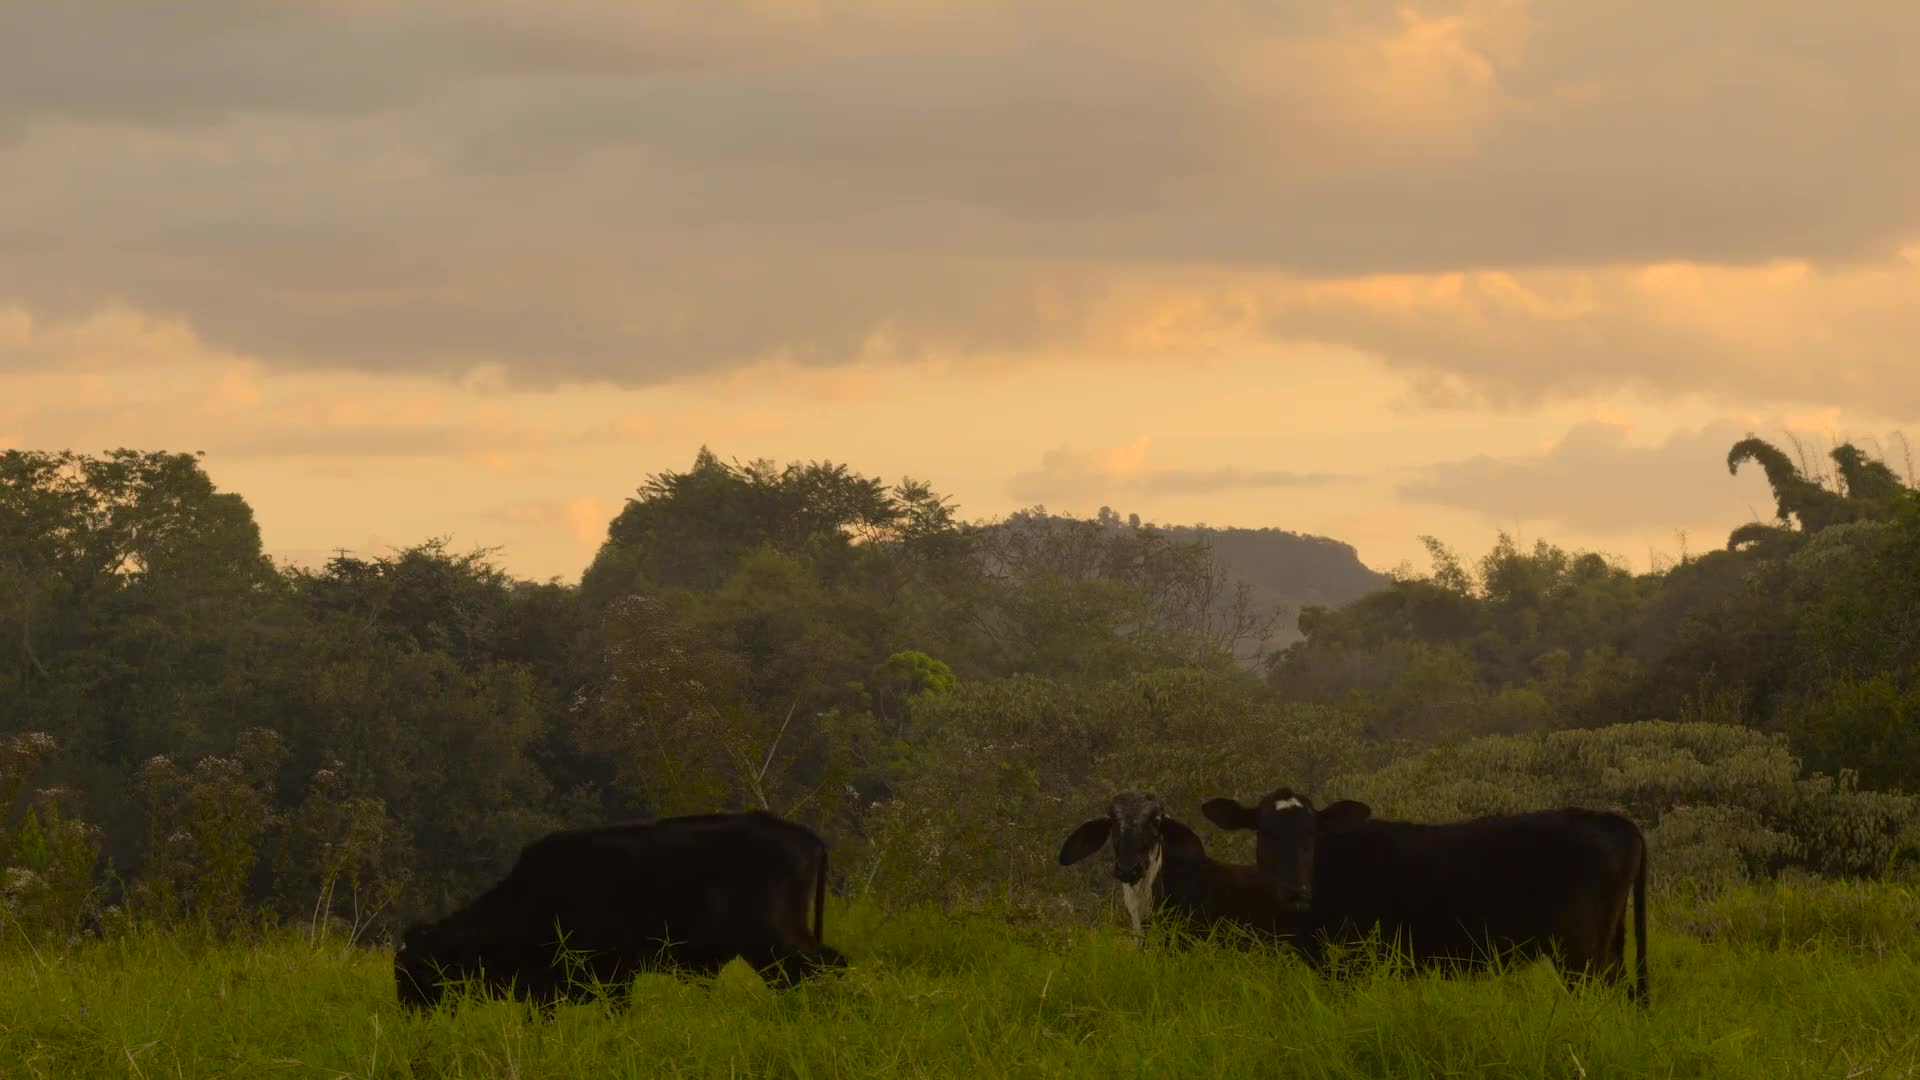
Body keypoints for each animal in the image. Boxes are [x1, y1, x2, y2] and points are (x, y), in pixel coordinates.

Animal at [394, 810, 846, 1012]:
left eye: (417, 971)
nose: (407, 1013)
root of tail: (805, 836)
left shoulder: (615, 978)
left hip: (774, 942)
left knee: (825, 966)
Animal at [1201, 788, 1649, 1004]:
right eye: (1263, 832)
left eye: (1313, 834)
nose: (1296, 889)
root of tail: (1611, 820)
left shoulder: (1353, 964)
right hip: (1607, 946)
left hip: (1580, 952)